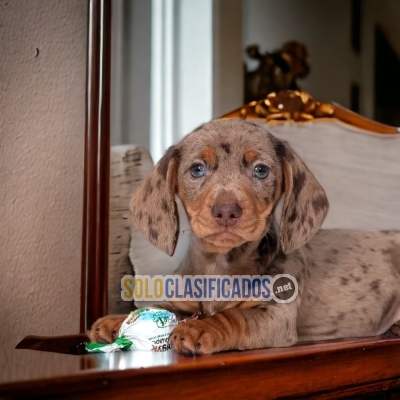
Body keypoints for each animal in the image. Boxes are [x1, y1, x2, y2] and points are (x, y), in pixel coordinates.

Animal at [90, 119, 400, 354]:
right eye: (197, 169)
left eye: (260, 170)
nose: (226, 210)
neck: (219, 265)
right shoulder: (185, 303)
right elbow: (163, 307)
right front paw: (117, 321)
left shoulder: (276, 315)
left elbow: (235, 316)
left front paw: (201, 327)